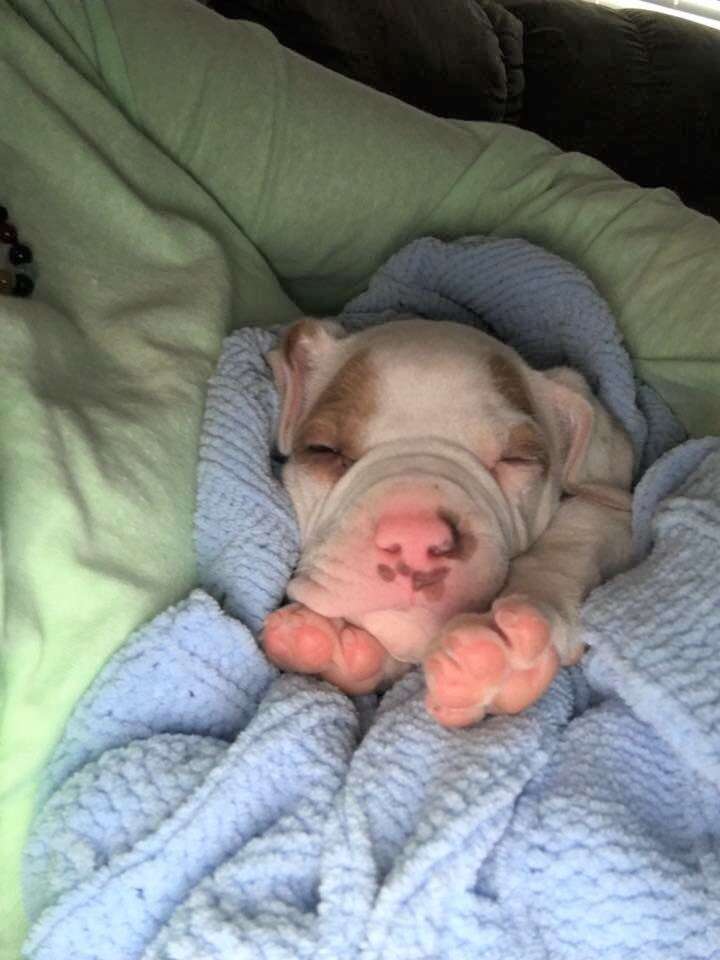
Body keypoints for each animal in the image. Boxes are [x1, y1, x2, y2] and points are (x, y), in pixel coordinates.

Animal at [262, 316, 632, 728]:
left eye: (517, 459)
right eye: (323, 450)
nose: (414, 538)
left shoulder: (619, 514)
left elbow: (578, 528)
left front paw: (508, 648)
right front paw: (331, 644)